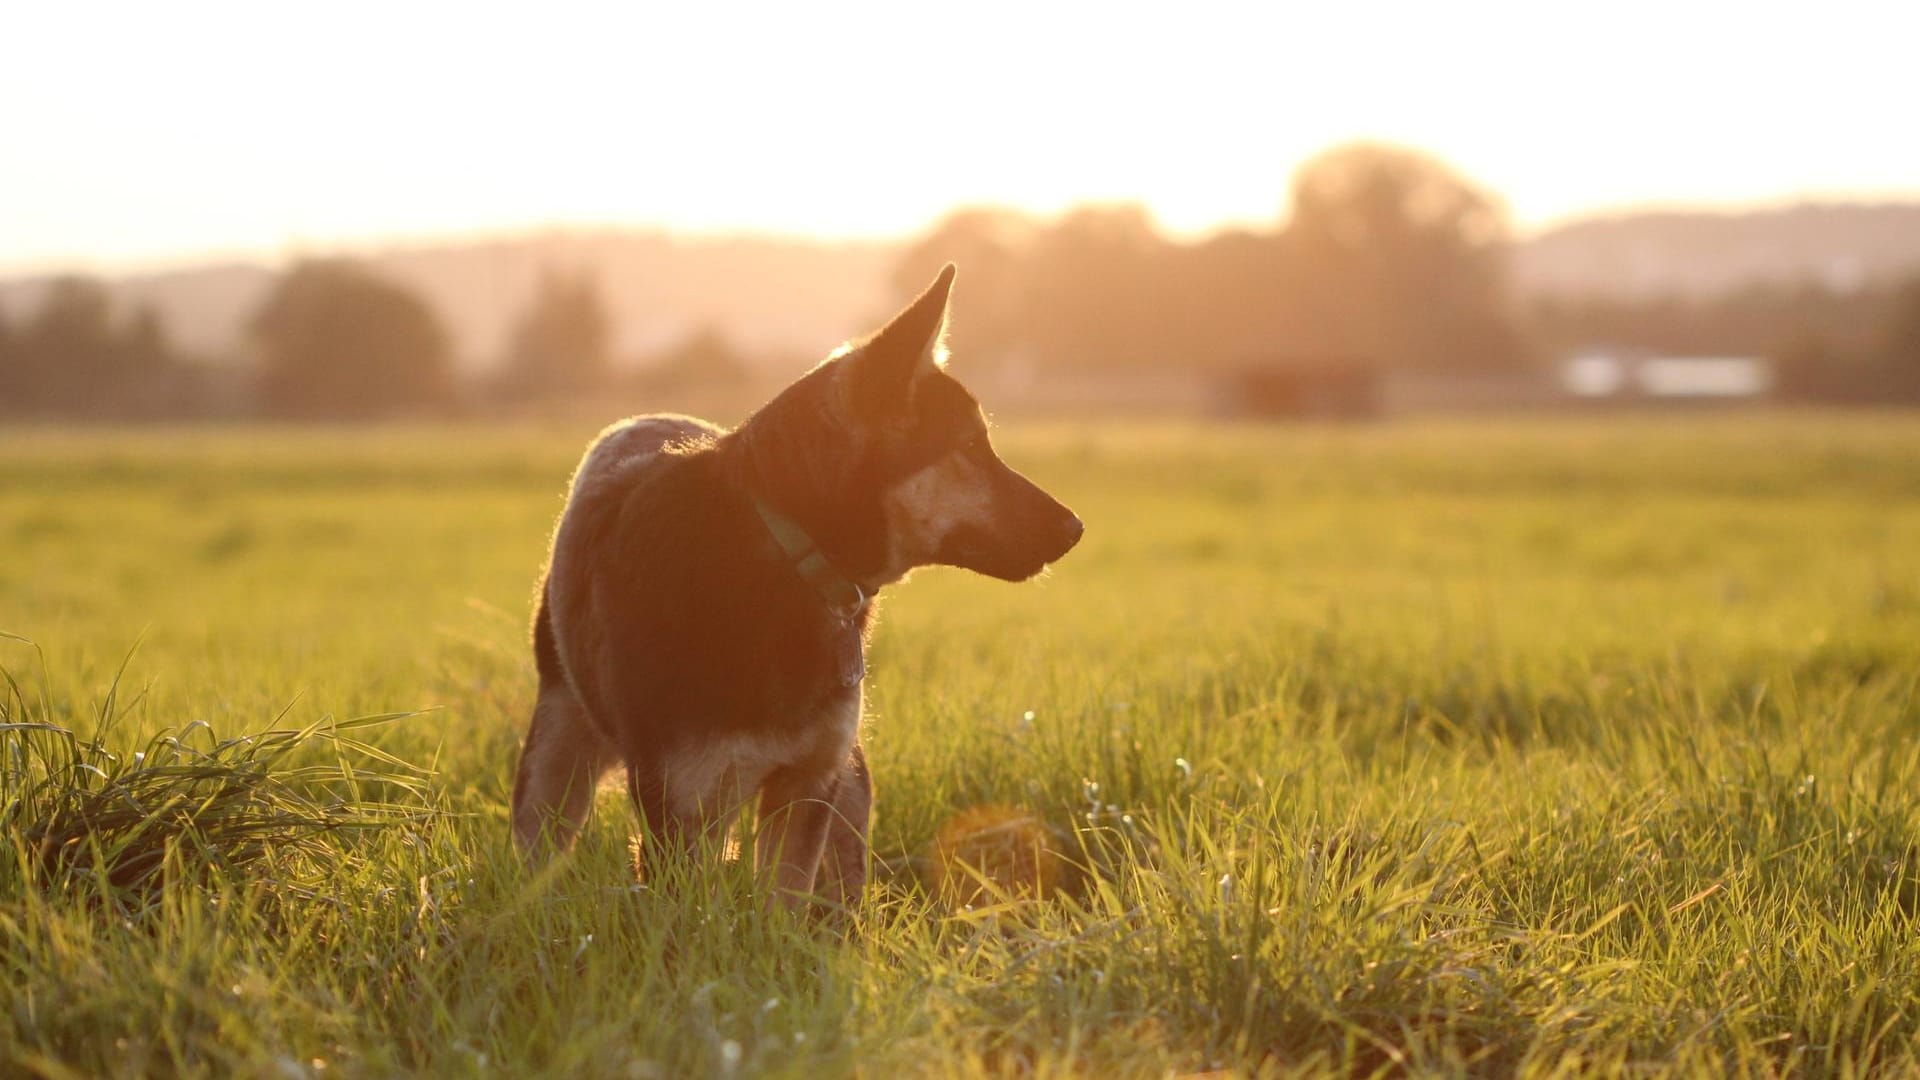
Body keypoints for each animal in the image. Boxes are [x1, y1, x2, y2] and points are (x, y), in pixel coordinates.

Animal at [506, 265, 1082, 903]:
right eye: (972, 447)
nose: (1075, 528)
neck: (786, 557)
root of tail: (642, 418)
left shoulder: (806, 783)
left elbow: (784, 899)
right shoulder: (679, 804)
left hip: (843, 776)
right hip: (558, 749)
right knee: (540, 836)